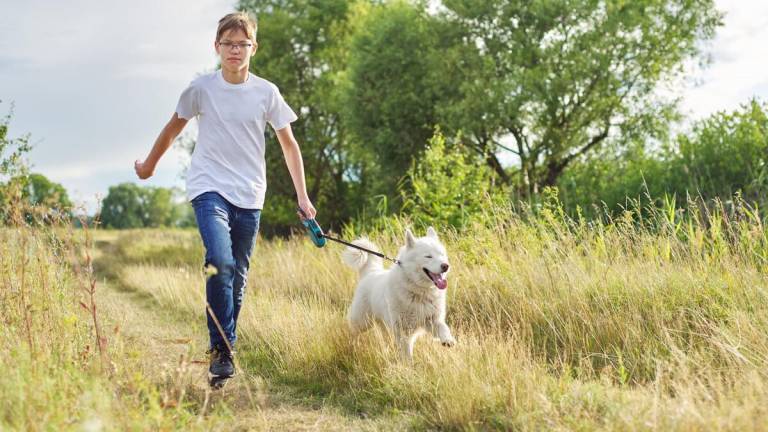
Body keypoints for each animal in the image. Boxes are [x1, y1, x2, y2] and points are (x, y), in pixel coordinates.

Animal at [344, 228, 456, 360]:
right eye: (428, 256)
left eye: (442, 254)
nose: (445, 266)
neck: (419, 292)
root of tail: (371, 272)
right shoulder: (403, 331)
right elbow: (406, 354)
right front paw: (408, 365)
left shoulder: (432, 320)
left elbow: (444, 328)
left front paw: (448, 340)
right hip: (362, 321)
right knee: (353, 332)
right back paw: (352, 346)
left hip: (384, 324)